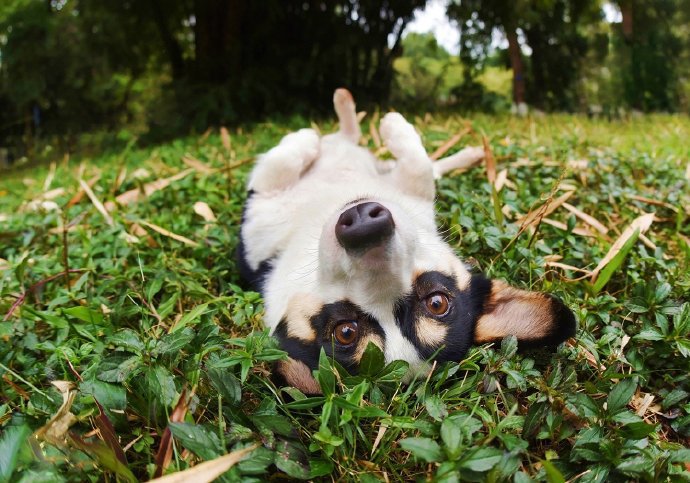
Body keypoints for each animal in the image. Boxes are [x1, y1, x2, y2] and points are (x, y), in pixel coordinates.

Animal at [238, 89, 576, 396]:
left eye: (437, 303)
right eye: (345, 332)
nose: (366, 228)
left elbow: (417, 166)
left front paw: (385, 127)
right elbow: (418, 165)